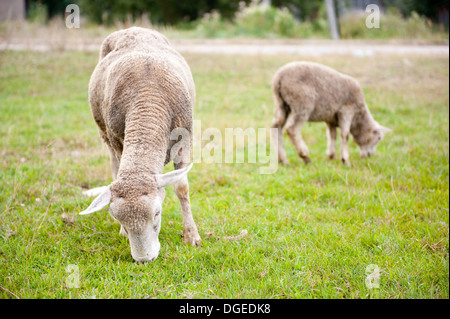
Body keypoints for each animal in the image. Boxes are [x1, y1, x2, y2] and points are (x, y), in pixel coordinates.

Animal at [79, 26, 202, 262]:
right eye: (117, 217)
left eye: (157, 213)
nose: (144, 259)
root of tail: (133, 28)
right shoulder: (118, 140)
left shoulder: (184, 141)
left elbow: (182, 188)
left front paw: (191, 236)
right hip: (105, 135)